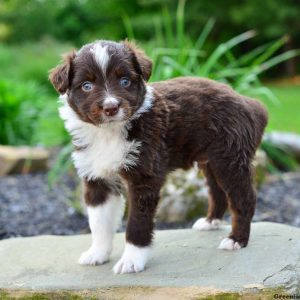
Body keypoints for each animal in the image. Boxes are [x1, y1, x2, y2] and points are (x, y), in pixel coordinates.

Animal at [48, 39, 268, 274]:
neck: (108, 133)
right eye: (87, 86)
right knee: (217, 191)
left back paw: (236, 239)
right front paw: (97, 253)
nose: (110, 108)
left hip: (229, 158)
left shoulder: (144, 177)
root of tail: (248, 102)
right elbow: (98, 223)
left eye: (125, 81)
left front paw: (131, 260)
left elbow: (137, 223)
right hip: (211, 159)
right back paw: (211, 222)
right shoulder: (97, 178)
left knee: (244, 197)